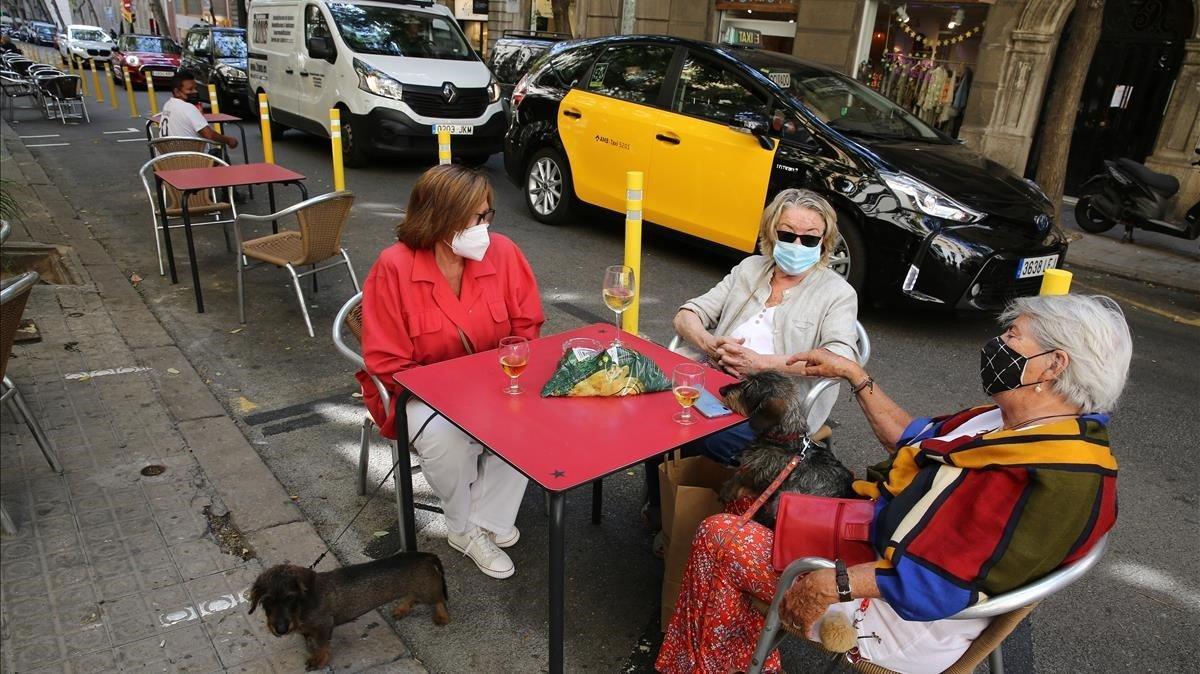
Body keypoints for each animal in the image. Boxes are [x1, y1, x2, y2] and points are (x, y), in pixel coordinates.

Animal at [248, 551, 451, 666]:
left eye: (290, 598)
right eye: (266, 602)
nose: (281, 630)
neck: (301, 607)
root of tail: (425, 555)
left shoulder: (324, 626)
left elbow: (322, 645)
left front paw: (319, 659)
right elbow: (309, 638)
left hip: (428, 590)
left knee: (439, 599)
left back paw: (442, 616)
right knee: (411, 596)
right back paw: (402, 609)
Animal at [715, 369, 859, 527]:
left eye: (749, 389)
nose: (722, 390)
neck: (784, 439)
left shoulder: (758, 474)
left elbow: (739, 477)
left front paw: (726, 491)